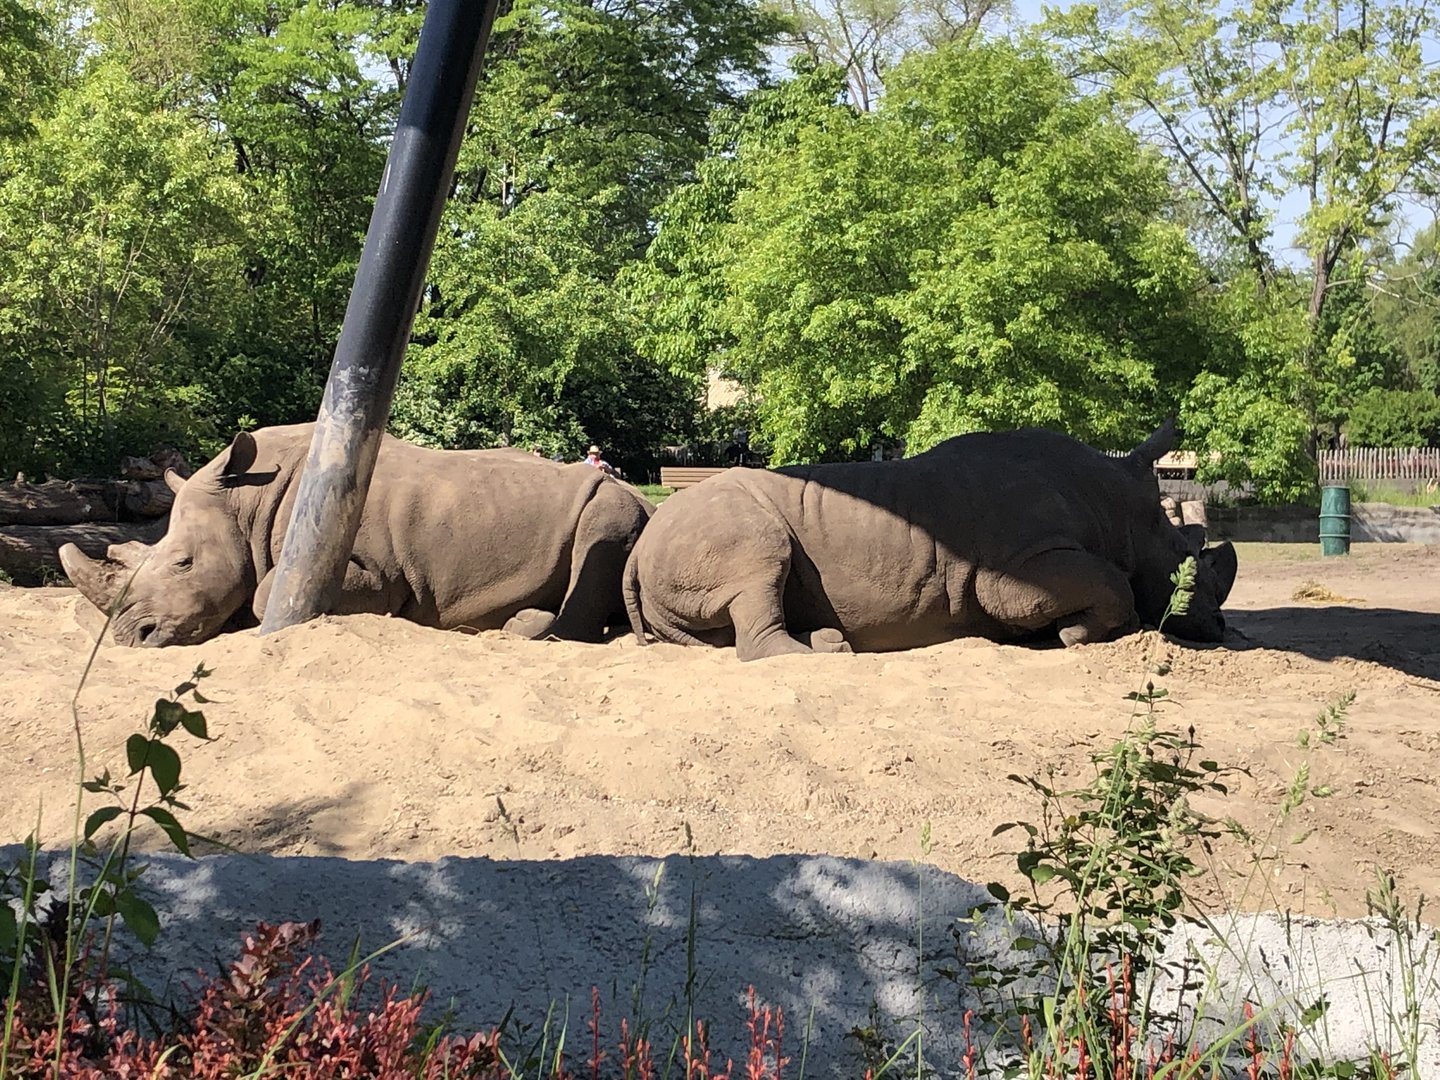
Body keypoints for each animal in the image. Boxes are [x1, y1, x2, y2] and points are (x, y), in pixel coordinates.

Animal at [60, 424, 653, 647]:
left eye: (183, 563)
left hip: (616, 502)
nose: (132, 637)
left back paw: (527, 630)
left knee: (600, 535)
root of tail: (650, 499)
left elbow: (265, 595)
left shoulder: (382, 574)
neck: (247, 502)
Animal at [622, 422, 1236, 660]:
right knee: (760, 563)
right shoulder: (1016, 567)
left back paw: (830, 643)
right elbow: (1114, 585)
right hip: (712, 526)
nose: (1220, 627)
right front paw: (1073, 634)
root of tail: (642, 541)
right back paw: (820, 656)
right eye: (1188, 563)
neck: (1120, 511)